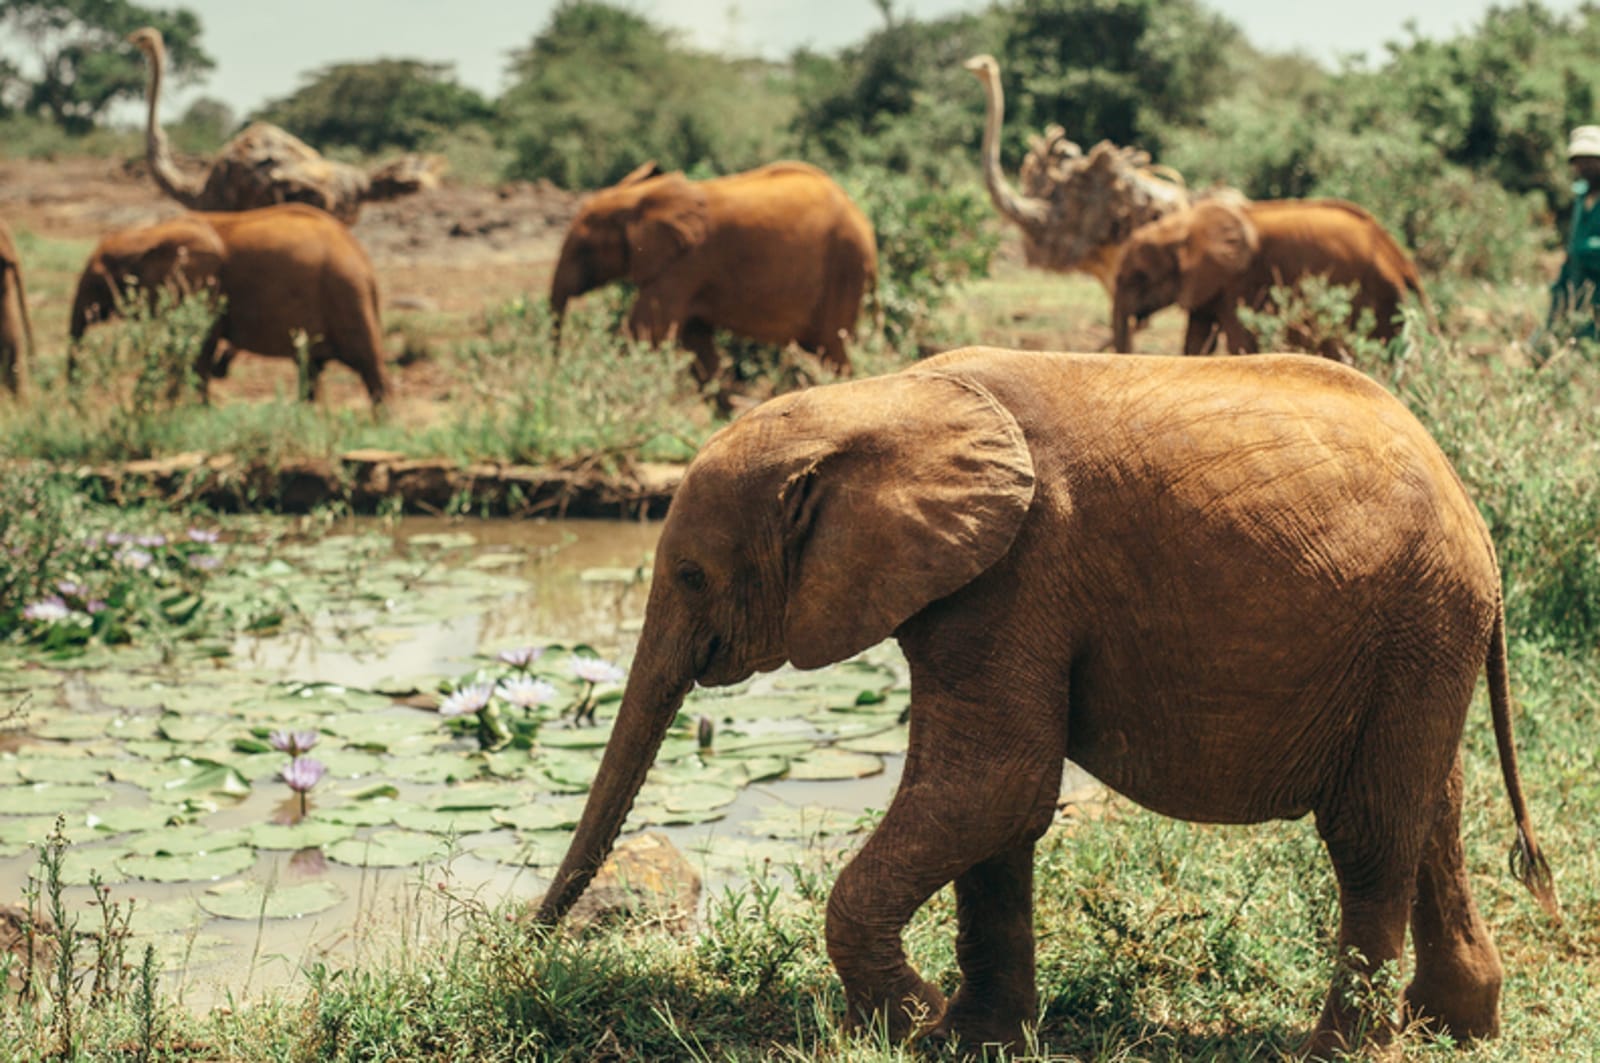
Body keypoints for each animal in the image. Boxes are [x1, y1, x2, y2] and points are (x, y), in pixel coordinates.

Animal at [70, 203, 389, 405]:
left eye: (97, 283)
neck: (147, 235)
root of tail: (364, 260)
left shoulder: (204, 287)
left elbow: (201, 346)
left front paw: (193, 413)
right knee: (310, 369)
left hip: (346, 294)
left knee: (369, 367)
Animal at [536, 347, 1558, 1057]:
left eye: (691, 575)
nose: (532, 945)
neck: (884, 398)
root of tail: (1475, 517)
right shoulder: (981, 583)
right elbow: (1000, 812)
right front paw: (973, 1039)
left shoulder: (1017, 570)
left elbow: (994, 784)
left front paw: (914, 1024)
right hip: (1420, 639)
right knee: (1432, 811)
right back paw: (1455, 1028)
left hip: (1414, 619)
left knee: (1369, 831)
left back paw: (1335, 1052)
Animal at [549, 160, 878, 388]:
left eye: (583, 250)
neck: (638, 197)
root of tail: (862, 218)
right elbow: (696, 342)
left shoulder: (685, 262)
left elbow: (644, 331)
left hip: (844, 266)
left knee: (832, 346)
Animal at [1112, 197, 1430, 362]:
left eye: (1138, 277)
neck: (1183, 226)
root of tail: (1400, 257)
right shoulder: (1206, 284)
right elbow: (1197, 342)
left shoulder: (1239, 281)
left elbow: (1240, 343)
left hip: (1376, 295)